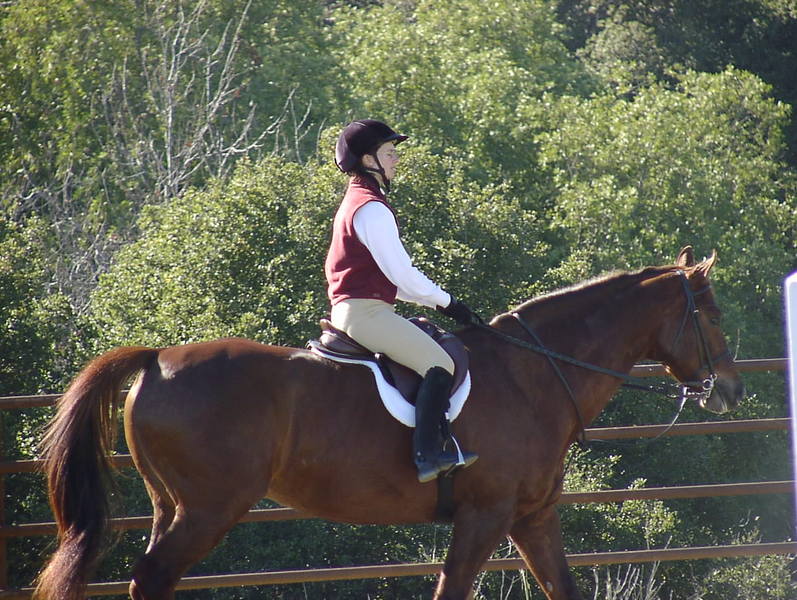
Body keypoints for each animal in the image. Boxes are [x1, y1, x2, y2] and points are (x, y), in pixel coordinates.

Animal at [34, 247, 744, 600]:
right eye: (709, 316)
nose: (731, 390)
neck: (536, 374)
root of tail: (157, 358)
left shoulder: (532, 517)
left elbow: (562, 588)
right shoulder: (485, 515)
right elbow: (452, 590)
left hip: (173, 505)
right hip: (210, 507)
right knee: (154, 578)